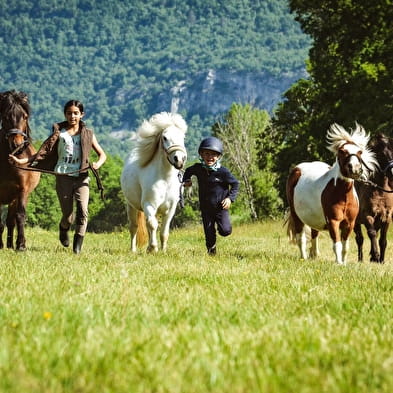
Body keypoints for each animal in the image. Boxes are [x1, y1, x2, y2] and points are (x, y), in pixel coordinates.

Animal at [0, 90, 40, 250]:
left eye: (25, 116)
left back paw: (12, 245)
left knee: (12, 221)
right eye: (5, 116)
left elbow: (20, 216)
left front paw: (21, 245)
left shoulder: (22, 191)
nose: (17, 145)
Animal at [119, 111, 187, 251]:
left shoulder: (171, 209)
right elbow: (152, 225)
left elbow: (164, 231)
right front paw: (153, 248)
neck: (165, 179)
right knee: (134, 227)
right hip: (131, 206)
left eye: (182, 137)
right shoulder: (149, 205)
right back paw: (133, 250)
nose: (179, 160)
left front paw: (163, 250)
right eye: (165, 138)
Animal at [284, 122, 376, 264]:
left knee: (314, 234)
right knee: (301, 238)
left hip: (314, 217)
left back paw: (314, 255)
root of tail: (297, 169)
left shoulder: (350, 223)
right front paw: (338, 263)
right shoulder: (333, 221)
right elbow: (337, 245)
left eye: (360, 152)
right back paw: (304, 258)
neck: (342, 195)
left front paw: (343, 263)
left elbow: (345, 247)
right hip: (296, 215)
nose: (355, 169)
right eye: (342, 151)